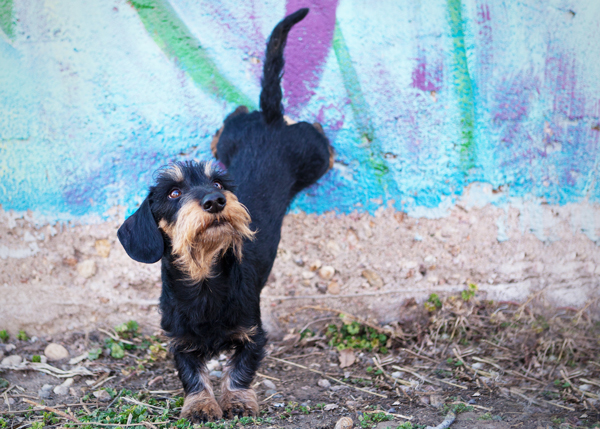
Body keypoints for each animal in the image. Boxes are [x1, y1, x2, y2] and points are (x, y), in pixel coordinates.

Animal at [117, 8, 332, 422]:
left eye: (219, 184)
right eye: (173, 192)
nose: (216, 201)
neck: (204, 278)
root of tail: (270, 118)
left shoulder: (253, 332)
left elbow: (241, 368)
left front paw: (238, 400)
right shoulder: (179, 341)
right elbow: (192, 375)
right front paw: (201, 404)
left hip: (310, 157)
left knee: (316, 137)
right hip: (238, 137)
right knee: (239, 118)